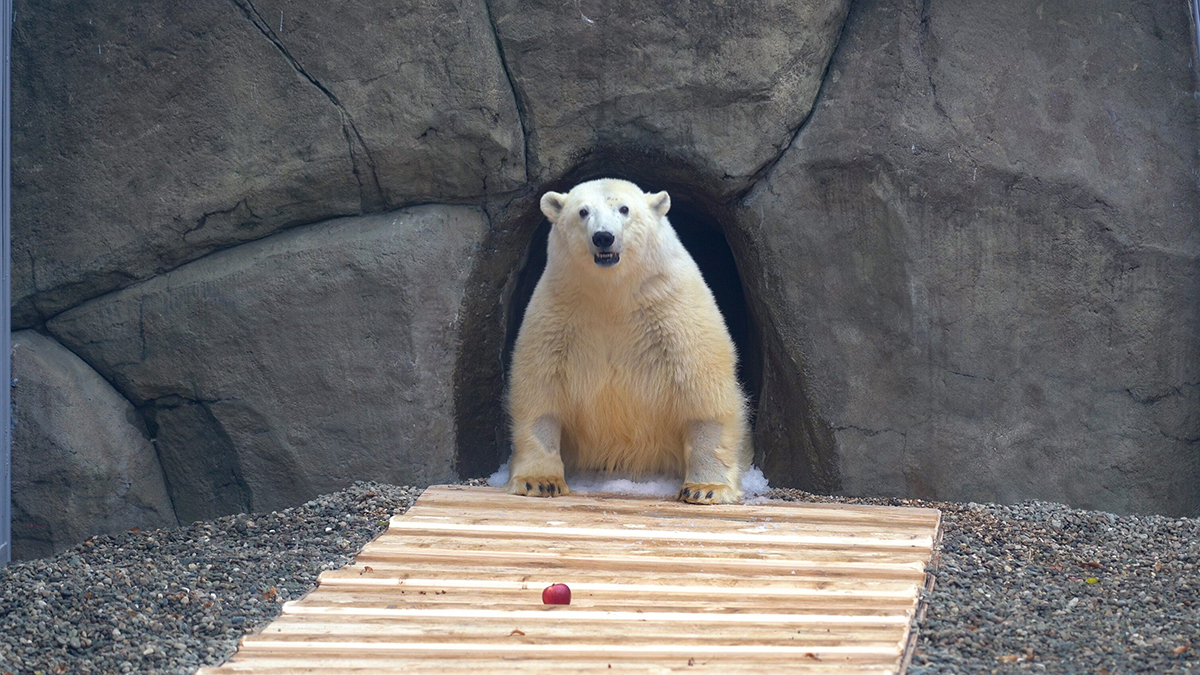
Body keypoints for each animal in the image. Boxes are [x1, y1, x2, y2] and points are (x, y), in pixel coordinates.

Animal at [506, 176, 748, 502]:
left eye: (624, 209)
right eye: (582, 211)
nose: (603, 237)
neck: (613, 295)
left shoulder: (673, 312)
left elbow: (703, 391)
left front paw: (706, 488)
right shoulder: (559, 314)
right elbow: (540, 391)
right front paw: (539, 481)